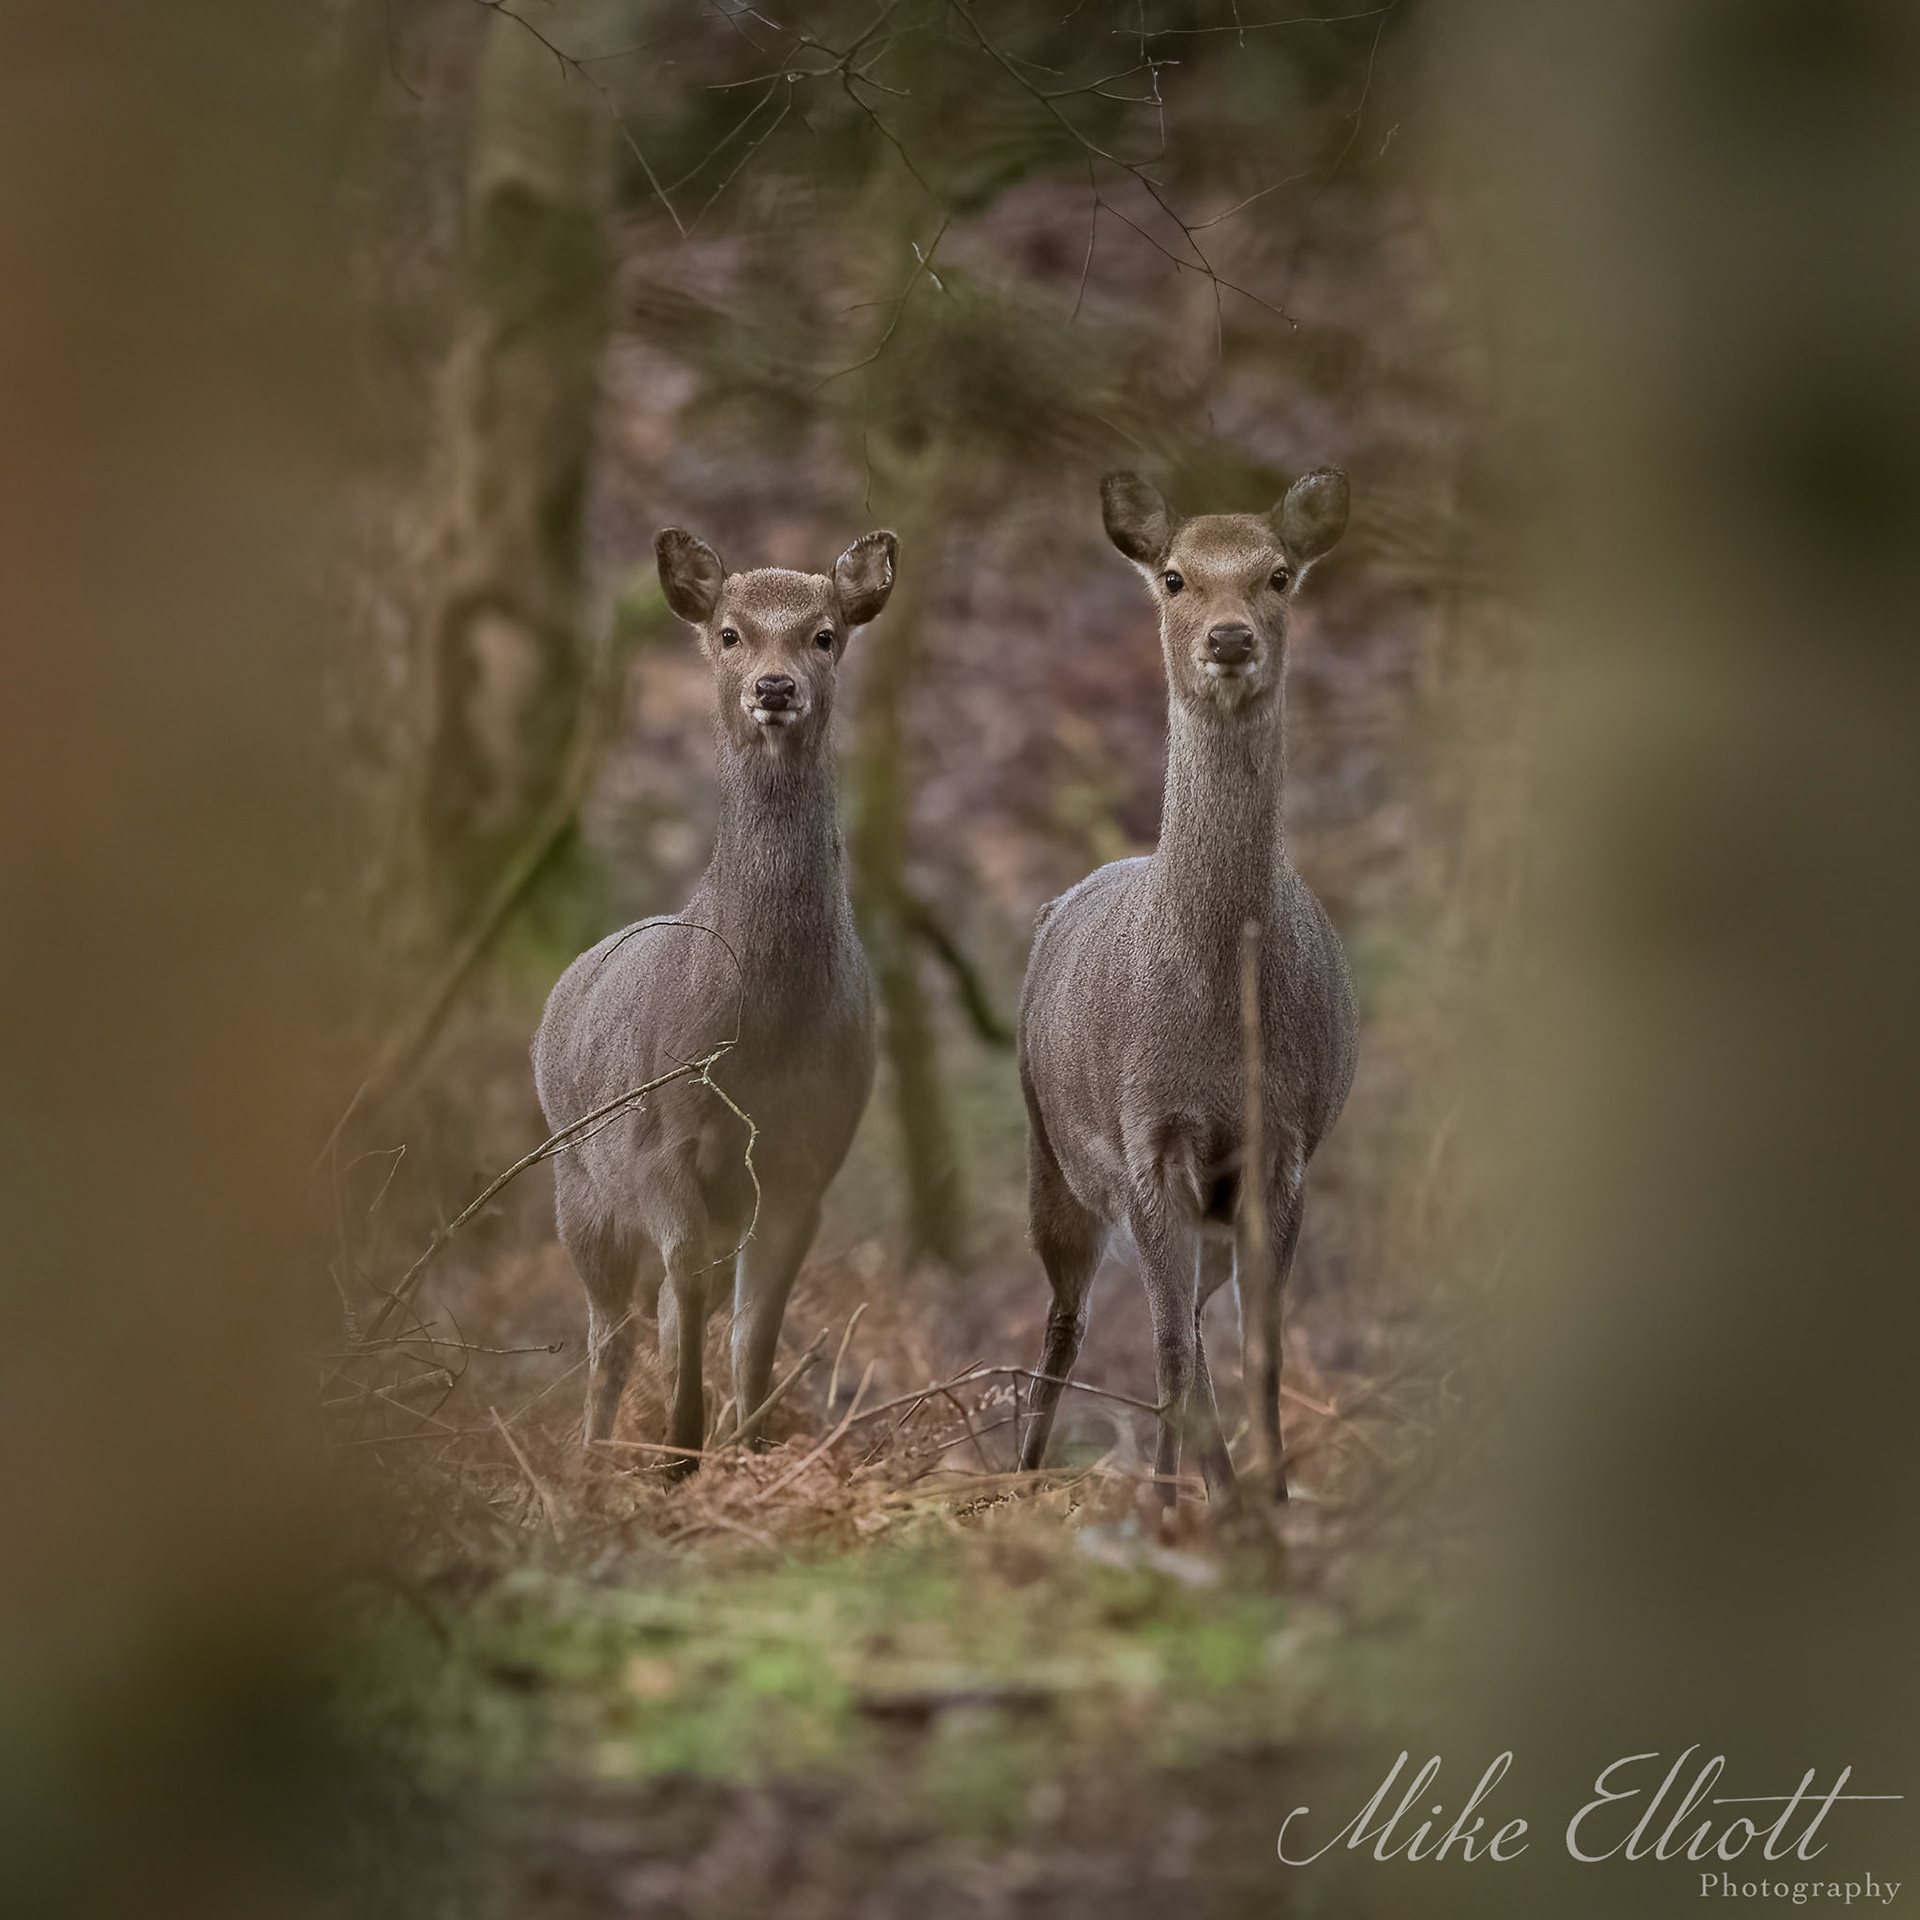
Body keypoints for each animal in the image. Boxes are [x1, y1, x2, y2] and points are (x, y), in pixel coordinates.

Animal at [532, 525, 896, 1467]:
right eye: (730, 634)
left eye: (824, 634)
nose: (774, 686)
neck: (759, 1031)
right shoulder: (659, 1144)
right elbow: (688, 1293)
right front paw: (680, 1456)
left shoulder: (809, 1154)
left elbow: (754, 1324)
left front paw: (747, 1449)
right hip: (577, 1180)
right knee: (612, 1330)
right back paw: (592, 1465)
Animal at [1015, 468, 1357, 1508]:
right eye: (1173, 576)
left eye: (1279, 573)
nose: (1231, 637)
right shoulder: (1150, 1136)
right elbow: (1169, 1355)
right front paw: (1194, 1509)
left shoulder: (1282, 1141)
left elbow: (1259, 1351)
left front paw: (1269, 1501)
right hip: (1056, 1158)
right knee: (1073, 1321)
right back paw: (1028, 1474)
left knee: (1190, 1327)